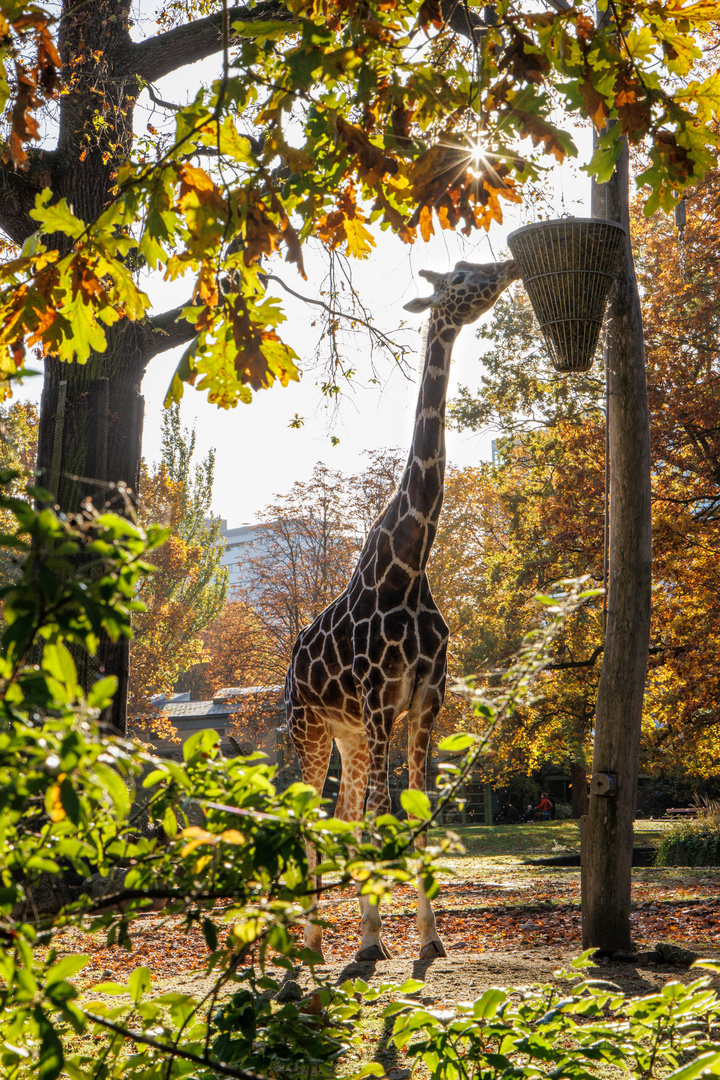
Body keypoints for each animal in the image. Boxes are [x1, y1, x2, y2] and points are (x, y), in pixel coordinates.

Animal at [284, 257, 518, 959]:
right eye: (461, 275)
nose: (508, 264)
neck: (409, 568)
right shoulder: (380, 700)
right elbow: (383, 819)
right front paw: (369, 940)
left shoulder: (423, 705)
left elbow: (413, 816)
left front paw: (428, 940)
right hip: (310, 727)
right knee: (311, 815)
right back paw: (309, 943)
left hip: (351, 737)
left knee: (340, 814)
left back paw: (325, 933)